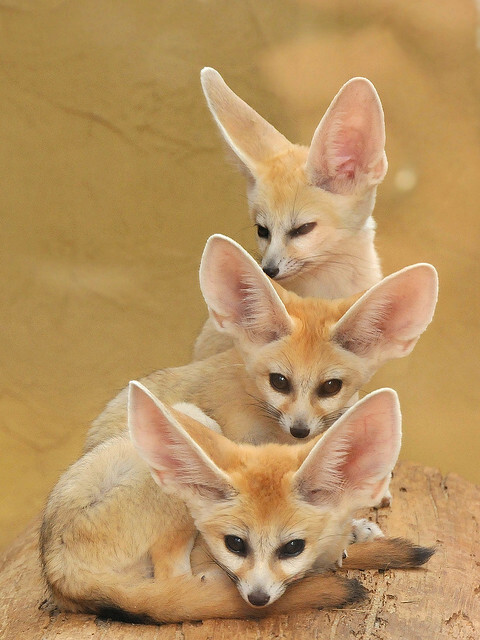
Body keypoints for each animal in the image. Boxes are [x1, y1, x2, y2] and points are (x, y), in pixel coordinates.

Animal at [40, 382, 434, 623]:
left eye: (292, 547)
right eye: (235, 544)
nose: (257, 599)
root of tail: (58, 572)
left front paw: (356, 533)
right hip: (190, 436)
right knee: (174, 578)